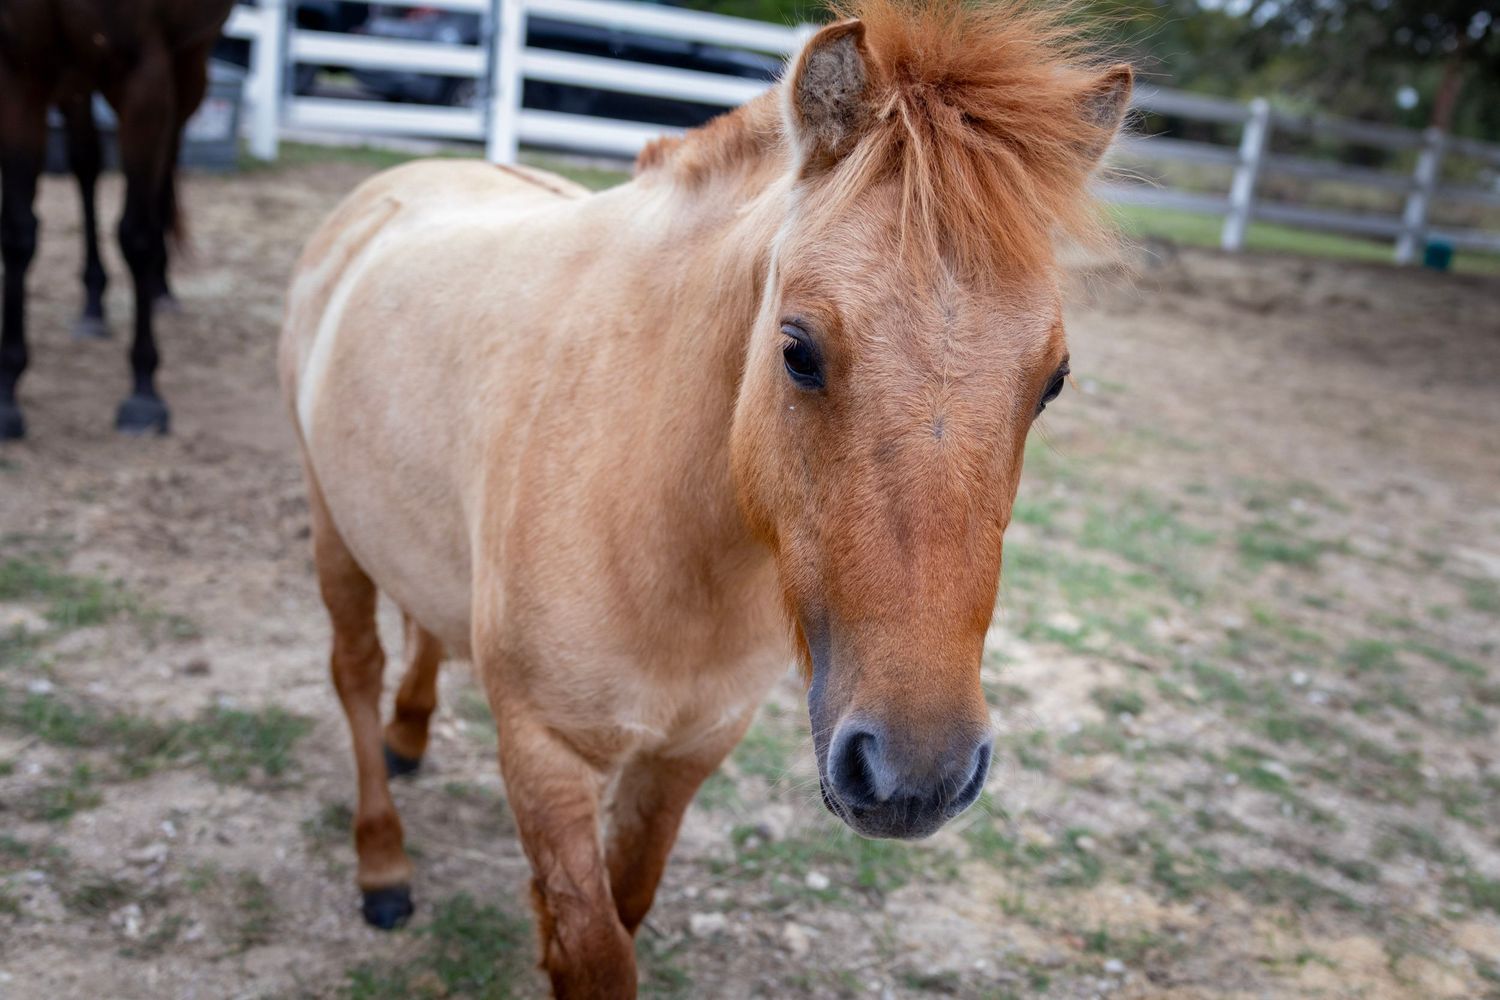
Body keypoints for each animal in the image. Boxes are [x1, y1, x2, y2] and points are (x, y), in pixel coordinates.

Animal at [0, 0, 234, 440]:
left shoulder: (144, 75)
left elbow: (137, 235)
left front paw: (144, 394)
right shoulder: (21, 73)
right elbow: (19, 234)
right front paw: (7, 393)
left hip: (188, 64)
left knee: (165, 163)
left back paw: (161, 288)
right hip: (76, 80)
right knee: (86, 164)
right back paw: (93, 304)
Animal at [280, 1, 1130, 994]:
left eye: (1053, 380)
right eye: (798, 348)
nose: (916, 775)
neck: (669, 535)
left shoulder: (687, 755)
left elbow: (628, 902)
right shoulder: (546, 753)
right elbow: (594, 950)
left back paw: (410, 736)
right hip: (333, 530)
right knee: (356, 672)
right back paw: (381, 862)